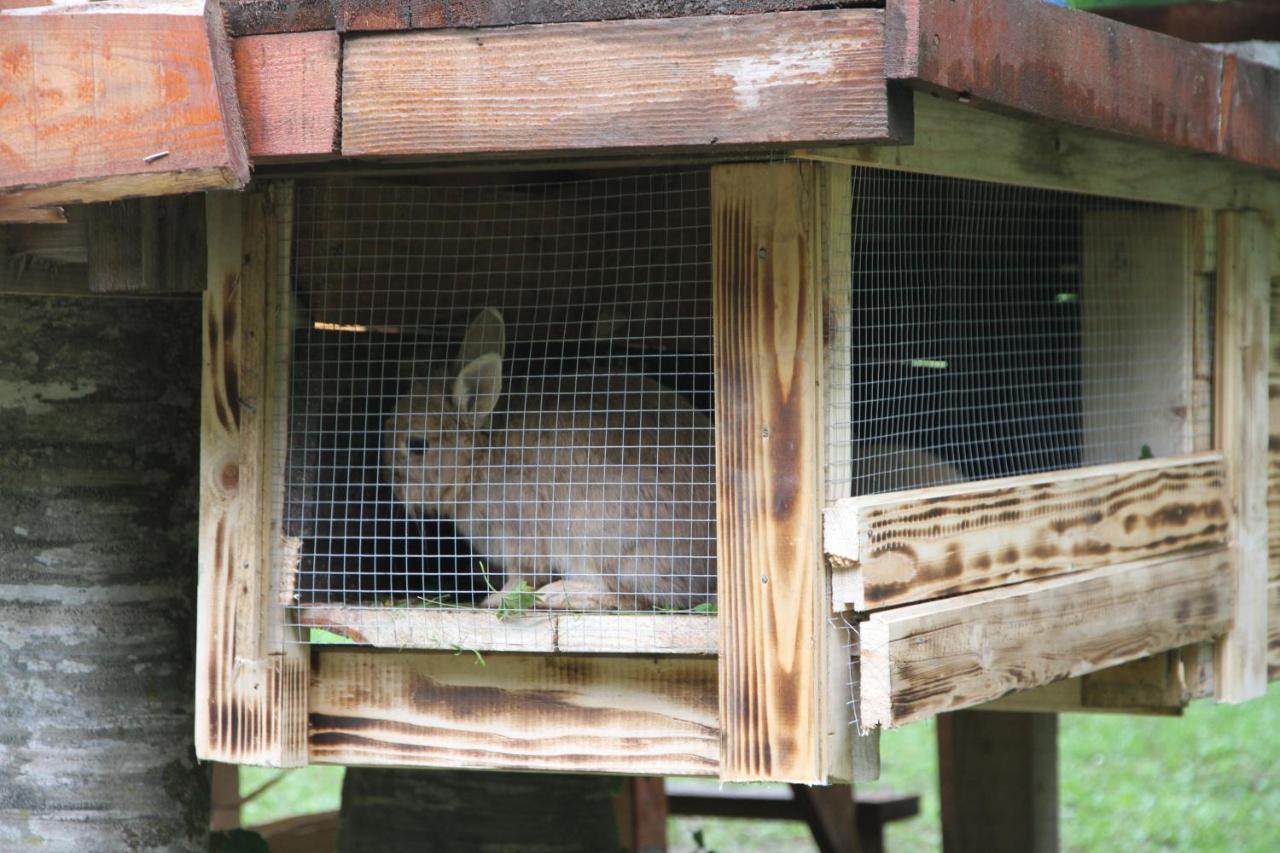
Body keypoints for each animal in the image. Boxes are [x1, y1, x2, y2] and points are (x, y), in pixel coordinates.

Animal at [378, 308, 721, 607]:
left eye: (417, 445)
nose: (393, 485)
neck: (478, 457)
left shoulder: (520, 533)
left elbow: (523, 576)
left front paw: (495, 600)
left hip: (607, 544)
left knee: (639, 598)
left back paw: (562, 595)